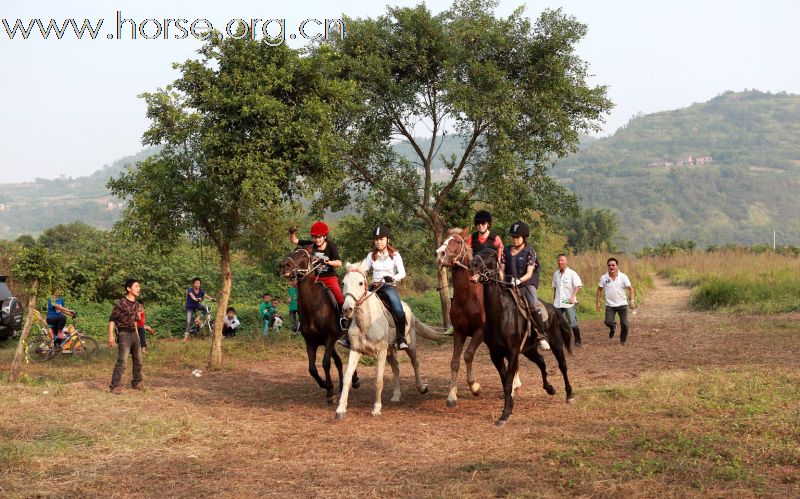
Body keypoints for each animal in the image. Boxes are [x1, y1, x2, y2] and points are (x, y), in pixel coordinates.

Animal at [278, 248, 360, 404]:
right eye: (292, 252)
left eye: (303, 255)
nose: (284, 265)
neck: (314, 306)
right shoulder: (311, 342)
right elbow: (312, 369)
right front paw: (327, 386)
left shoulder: (330, 338)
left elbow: (326, 363)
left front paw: (329, 391)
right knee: (338, 362)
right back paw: (341, 386)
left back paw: (355, 380)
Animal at [334, 262, 450, 422]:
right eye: (344, 282)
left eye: (360, 283)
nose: (347, 309)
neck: (366, 322)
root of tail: (408, 308)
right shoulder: (356, 350)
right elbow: (347, 378)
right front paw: (340, 409)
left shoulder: (381, 352)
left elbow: (378, 381)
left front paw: (376, 409)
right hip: (389, 352)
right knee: (396, 368)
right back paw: (396, 395)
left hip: (409, 346)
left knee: (415, 363)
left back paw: (422, 387)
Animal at [434, 229, 484, 408]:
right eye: (445, 239)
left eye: (457, 241)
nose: (439, 253)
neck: (467, 297)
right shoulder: (459, 333)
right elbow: (455, 362)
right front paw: (451, 396)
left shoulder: (479, 331)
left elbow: (468, 355)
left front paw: (475, 387)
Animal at [468, 246, 576, 426]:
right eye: (476, 252)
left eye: (491, 255)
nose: (472, 265)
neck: (500, 314)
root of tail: (553, 309)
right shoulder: (496, 354)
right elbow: (505, 381)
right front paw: (509, 407)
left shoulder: (512, 352)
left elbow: (508, 383)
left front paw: (504, 414)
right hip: (529, 350)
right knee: (541, 362)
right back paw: (549, 388)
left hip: (556, 344)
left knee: (563, 366)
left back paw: (569, 395)